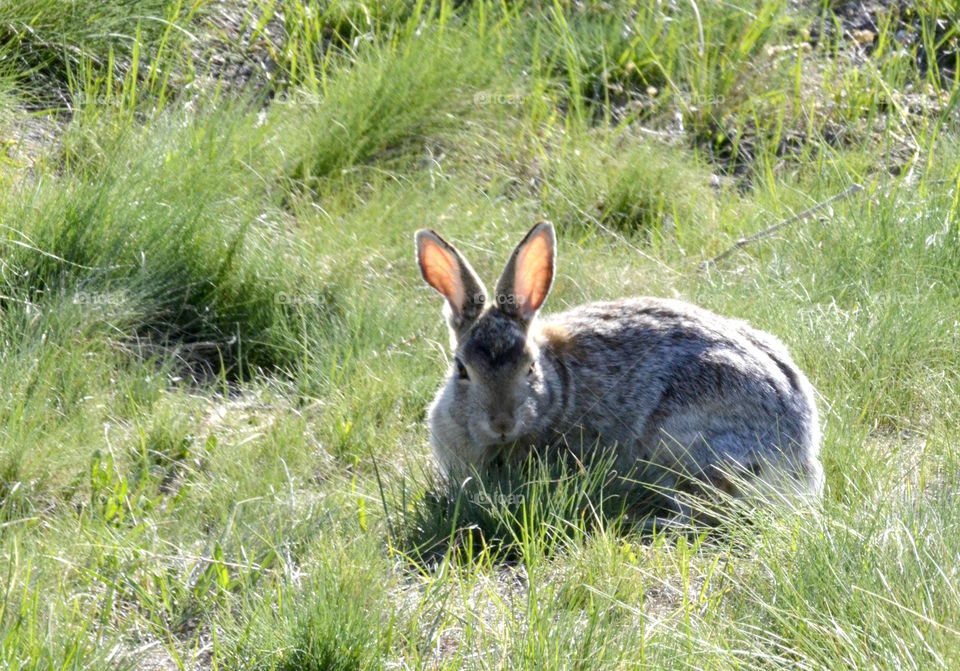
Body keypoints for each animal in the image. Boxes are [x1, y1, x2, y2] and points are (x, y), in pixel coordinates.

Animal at [414, 221, 824, 521]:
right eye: (461, 369)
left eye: (529, 367)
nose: (502, 423)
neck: (558, 387)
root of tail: (800, 451)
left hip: (681, 445)